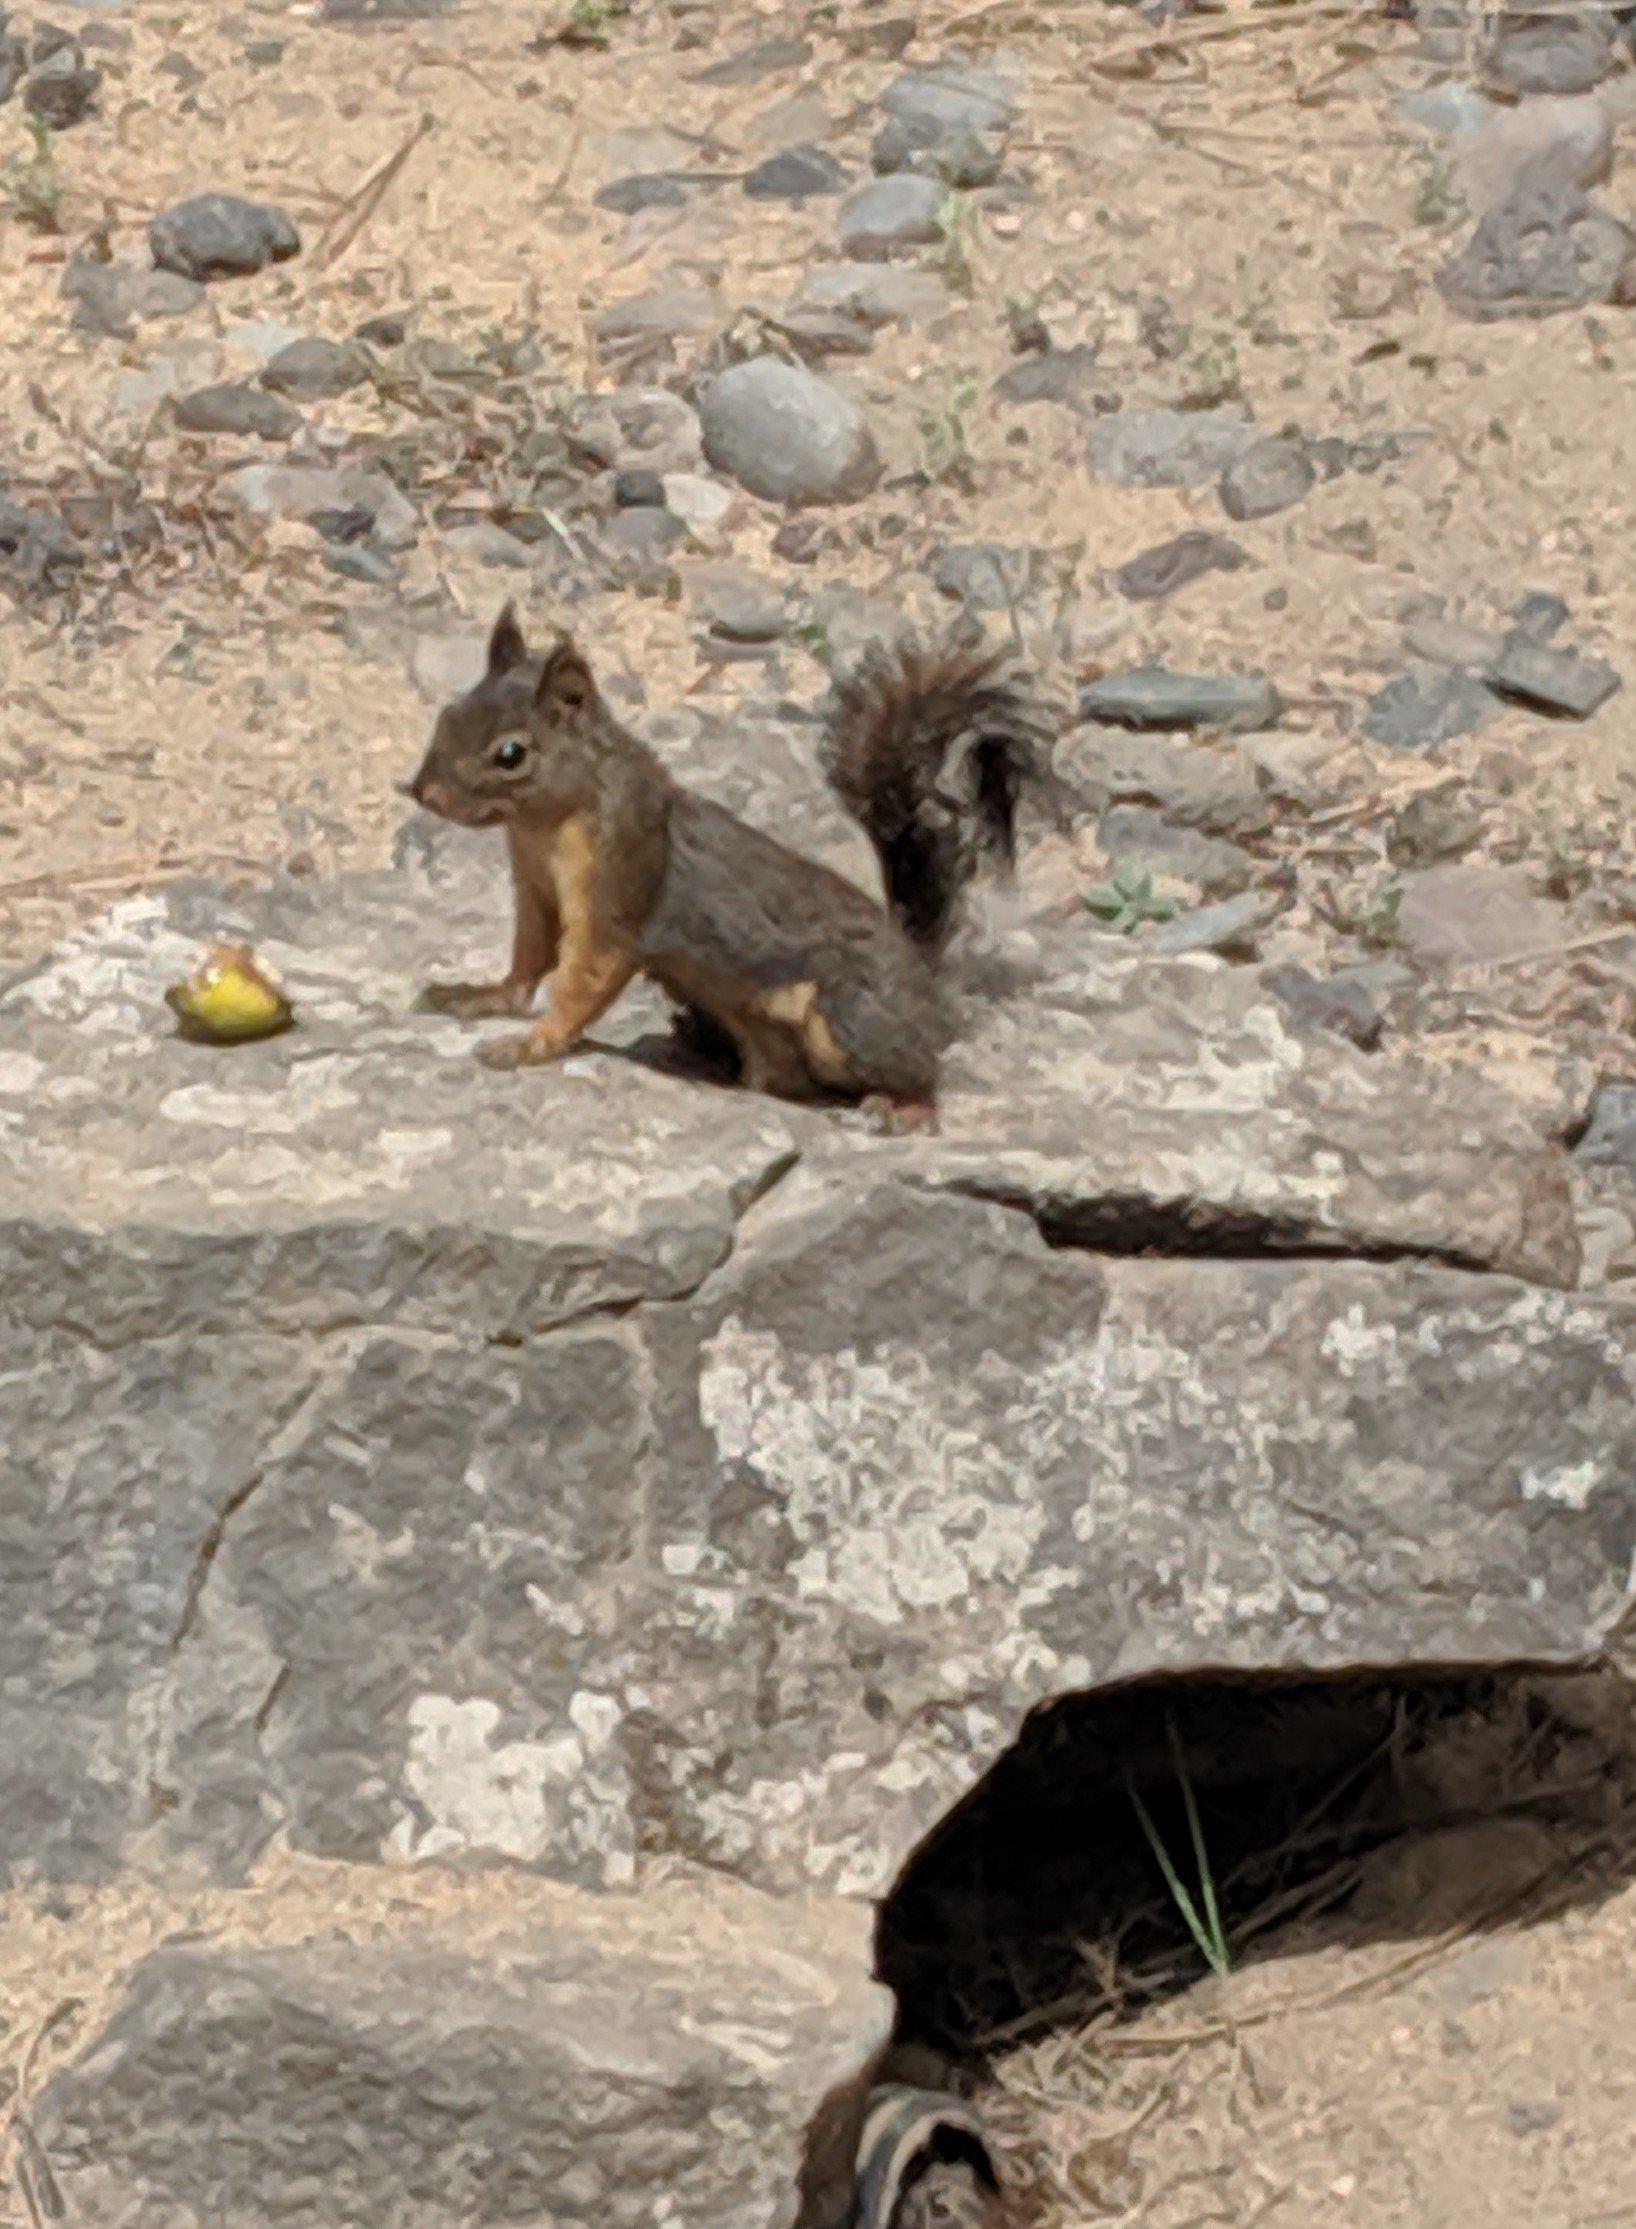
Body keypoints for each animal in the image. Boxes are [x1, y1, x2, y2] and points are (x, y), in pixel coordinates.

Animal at [407, 606, 1052, 1114]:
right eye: (446, 714)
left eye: (511, 754)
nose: (421, 793)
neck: (543, 824)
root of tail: (925, 982)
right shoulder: (535, 888)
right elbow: (528, 960)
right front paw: (477, 996)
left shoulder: (623, 877)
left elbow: (583, 978)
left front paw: (531, 1044)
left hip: (846, 1020)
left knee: (918, 1070)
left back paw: (905, 1109)